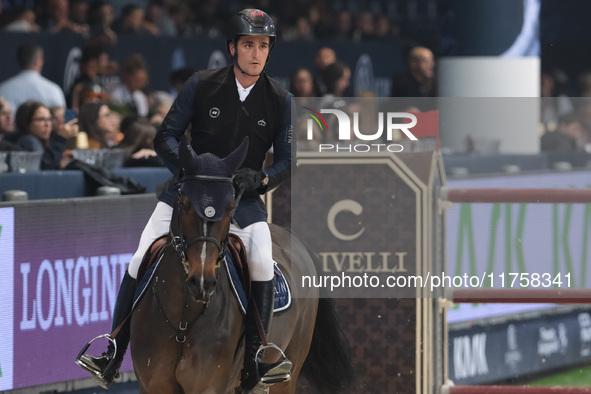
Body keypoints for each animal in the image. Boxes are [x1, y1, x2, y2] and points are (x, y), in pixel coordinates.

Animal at [130, 137, 352, 392]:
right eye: (184, 204)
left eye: (229, 208)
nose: (202, 281)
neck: (183, 318)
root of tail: (292, 237)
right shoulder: (153, 386)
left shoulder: (210, 387)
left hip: (289, 370)